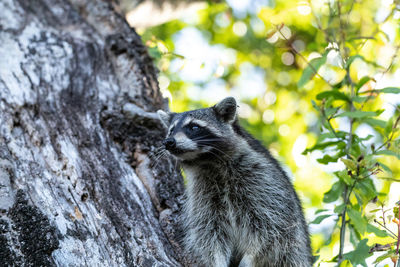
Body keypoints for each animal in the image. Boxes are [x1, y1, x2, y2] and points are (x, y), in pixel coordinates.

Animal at [157, 97, 312, 266]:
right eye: (171, 130)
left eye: (194, 127)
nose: (168, 142)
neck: (208, 161)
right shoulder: (202, 194)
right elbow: (208, 233)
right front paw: (217, 261)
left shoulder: (263, 180)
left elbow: (271, 230)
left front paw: (251, 256)